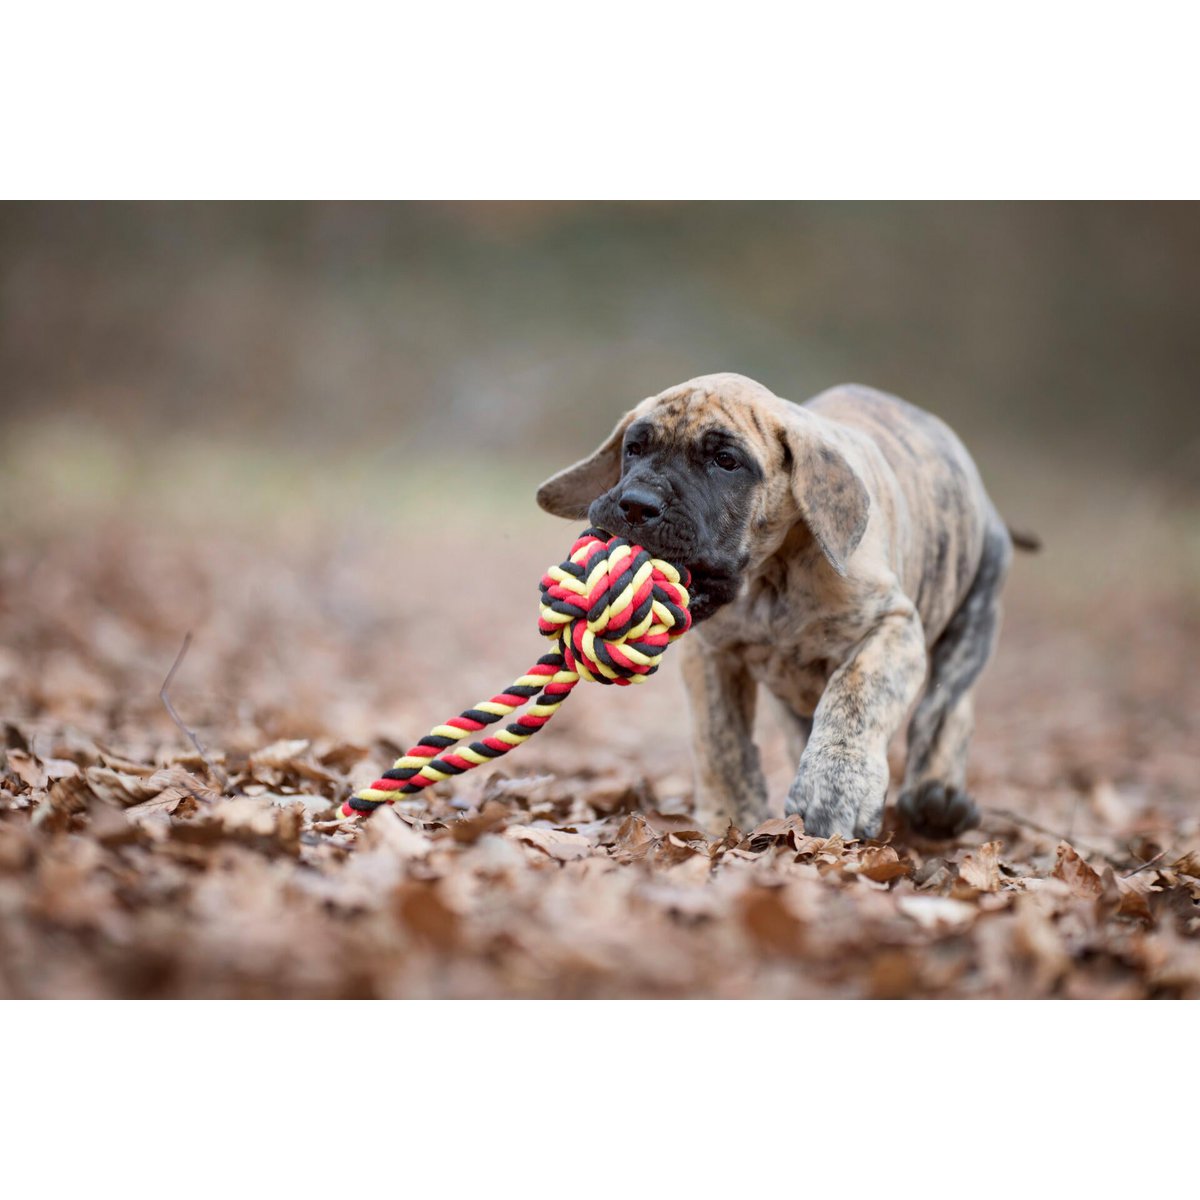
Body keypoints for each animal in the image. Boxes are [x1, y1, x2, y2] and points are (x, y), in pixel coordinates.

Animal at [540, 369, 1027, 840]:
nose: (637, 504)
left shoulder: (893, 625)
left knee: (944, 709)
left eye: (726, 461)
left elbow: (856, 694)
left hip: (975, 610)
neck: (769, 580)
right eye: (634, 449)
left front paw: (834, 790)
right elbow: (719, 739)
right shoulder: (711, 655)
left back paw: (937, 800)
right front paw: (729, 817)